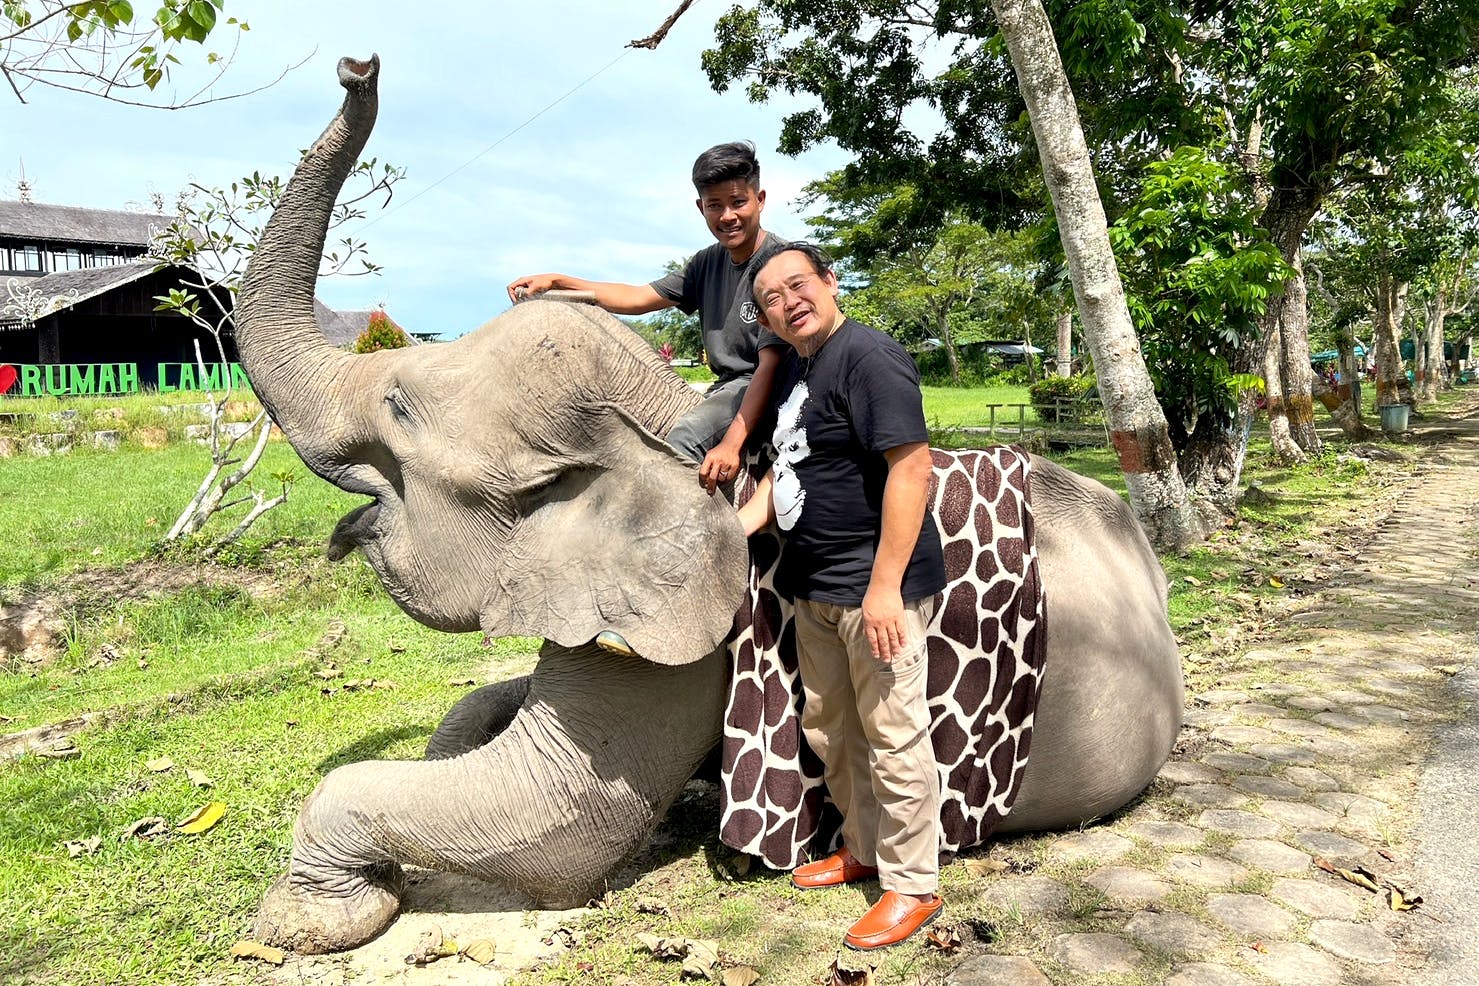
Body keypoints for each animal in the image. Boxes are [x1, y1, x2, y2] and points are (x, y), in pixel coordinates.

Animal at [235, 55, 1183, 955]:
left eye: (397, 409)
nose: (360, 67)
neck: (652, 425)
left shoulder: (683, 643)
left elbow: (550, 828)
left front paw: (307, 919)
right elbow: (482, 713)